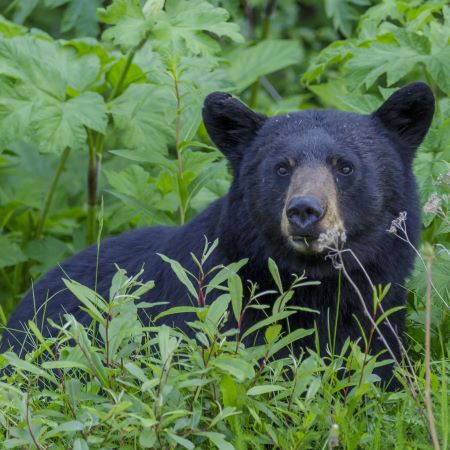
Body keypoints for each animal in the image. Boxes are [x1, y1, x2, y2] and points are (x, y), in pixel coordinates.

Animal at [0, 81, 436, 386]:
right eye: (282, 167)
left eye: (344, 166)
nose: (305, 211)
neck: (316, 286)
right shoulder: (216, 310)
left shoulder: (379, 312)